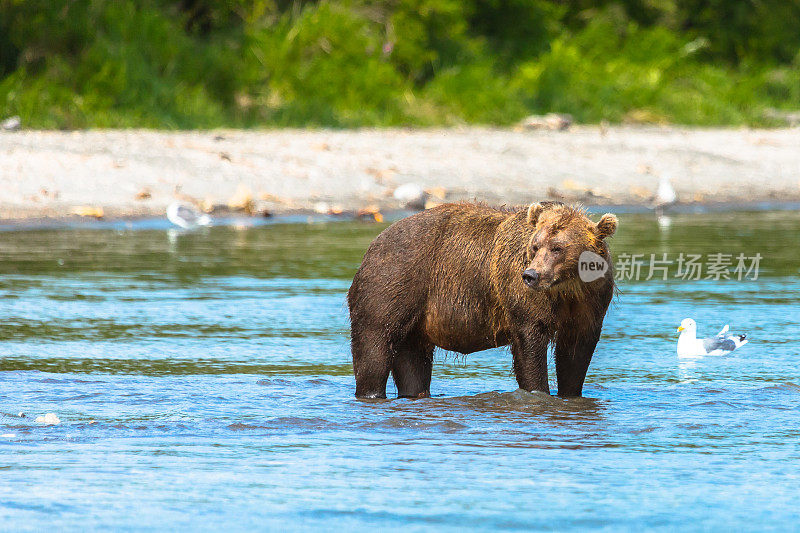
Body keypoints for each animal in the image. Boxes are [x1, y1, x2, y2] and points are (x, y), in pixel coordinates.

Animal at [346, 202, 616, 396]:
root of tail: (375, 243)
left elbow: (575, 356)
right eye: (535, 245)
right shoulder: (524, 302)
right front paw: (538, 391)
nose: (531, 275)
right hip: (391, 284)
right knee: (374, 349)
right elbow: (530, 349)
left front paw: (570, 393)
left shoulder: (590, 305)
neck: (568, 289)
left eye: (558, 248)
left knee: (412, 365)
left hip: (415, 317)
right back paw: (370, 392)